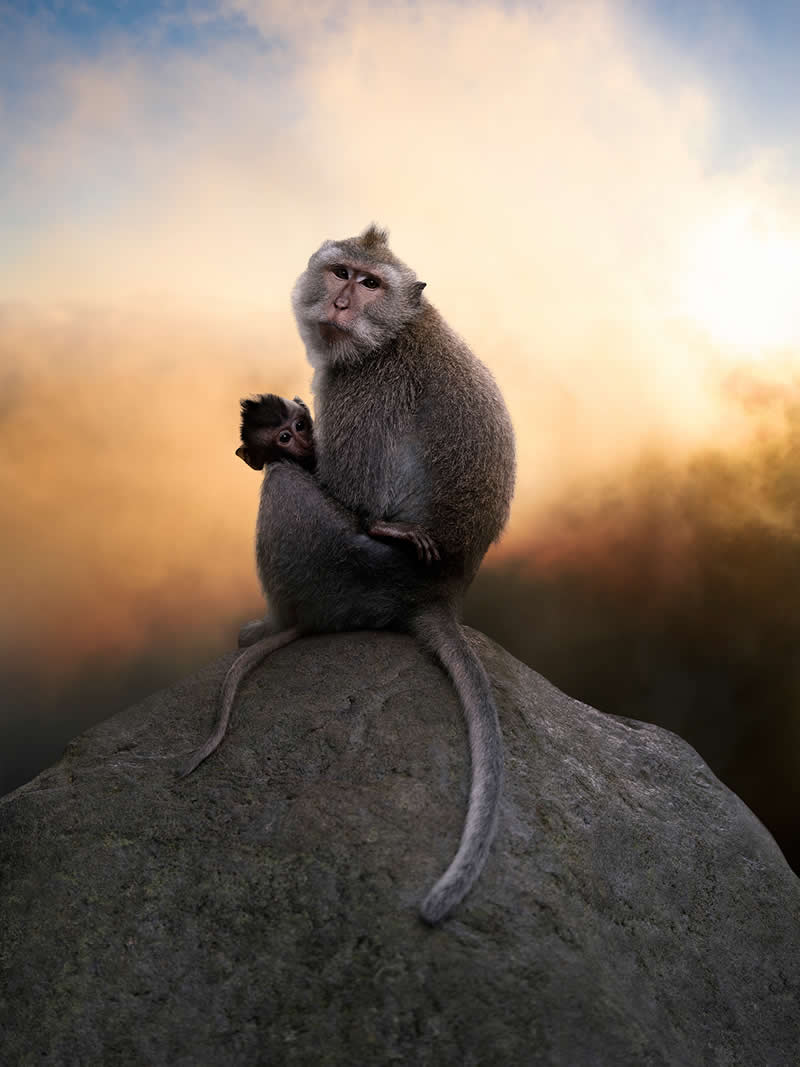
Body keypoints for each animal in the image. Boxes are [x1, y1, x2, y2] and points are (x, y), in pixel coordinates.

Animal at [182, 225, 515, 925]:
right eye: (341, 272)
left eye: (370, 283)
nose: (340, 303)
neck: (392, 332)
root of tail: (442, 592)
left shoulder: (359, 387)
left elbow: (349, 490)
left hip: (351, 575)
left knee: (285, 488)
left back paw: (277, 624)